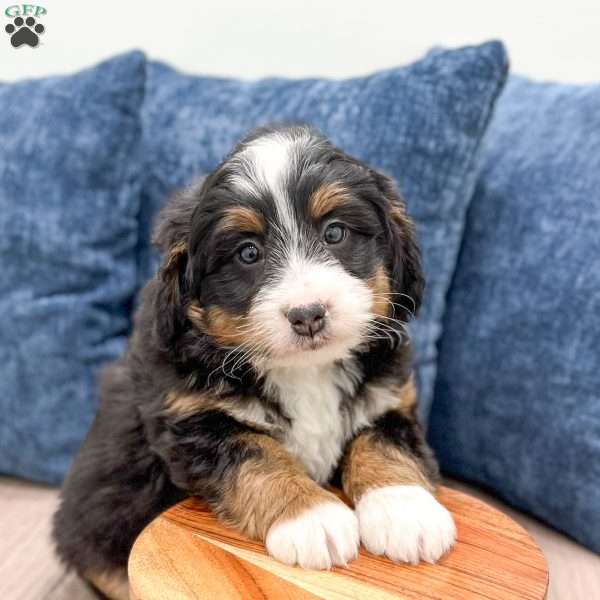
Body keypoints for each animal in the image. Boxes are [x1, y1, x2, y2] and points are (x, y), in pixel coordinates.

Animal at [52, 124, 454, 596]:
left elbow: (385, 440)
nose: (308, 314)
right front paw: (312, 518)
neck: (305, 371)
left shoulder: (389, 394)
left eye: (335, 233)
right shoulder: (189, 419)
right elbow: (256, 453)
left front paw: (405, 509)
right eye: (247, 253)